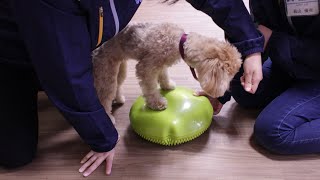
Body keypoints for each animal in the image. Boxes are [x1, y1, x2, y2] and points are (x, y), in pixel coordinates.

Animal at [91, 22, 241, 116]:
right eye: (229, 74)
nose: (228, 90)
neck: (179, 42)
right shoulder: (146, 68)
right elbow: (151, 89)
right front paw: (157, 103)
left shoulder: (160, 65)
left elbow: (163, 75)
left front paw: (167, 85)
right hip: (106, 72)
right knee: (104, 97)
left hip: (120, 68)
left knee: (118, 85)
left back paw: (119, 99)